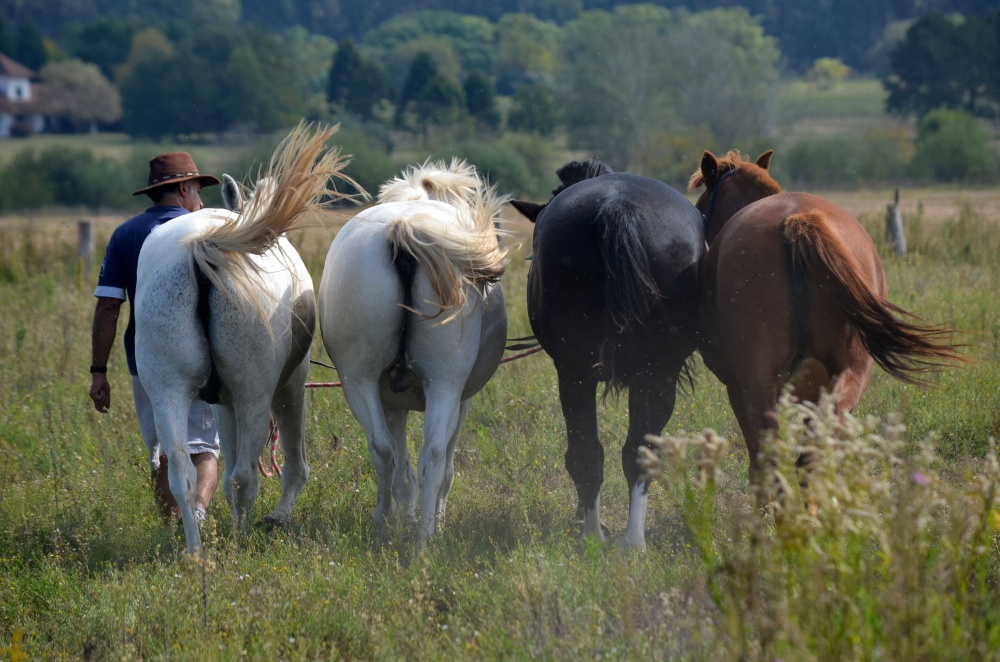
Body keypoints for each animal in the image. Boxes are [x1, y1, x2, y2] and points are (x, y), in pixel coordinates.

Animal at [134, 124, 356, 556]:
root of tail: (203, 248)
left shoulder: (221, 401)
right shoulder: (289, 385)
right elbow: (293, 463)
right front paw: (277, 517)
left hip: (168, 389)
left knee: (182, 474)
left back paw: (196, 552)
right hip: (255, 392)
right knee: (244, 476)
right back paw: (240, 541)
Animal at [318, 161, 508, 556]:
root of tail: (401, 228)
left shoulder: (393, 402)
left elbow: (400, 462)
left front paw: (406, 517)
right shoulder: (461, 400)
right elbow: (444, 466)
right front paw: (432, 517)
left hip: (358, 381)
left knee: (385, 450)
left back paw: (394, 528)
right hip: (445, 384)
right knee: (432, 456)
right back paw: (423, 536)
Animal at [688, 150, 960, 482]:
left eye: (702, 205)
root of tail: (797, 219)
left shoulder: (738, 389)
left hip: (758, 382)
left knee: (771, 458)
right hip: (850, 373)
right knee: (815, 450)